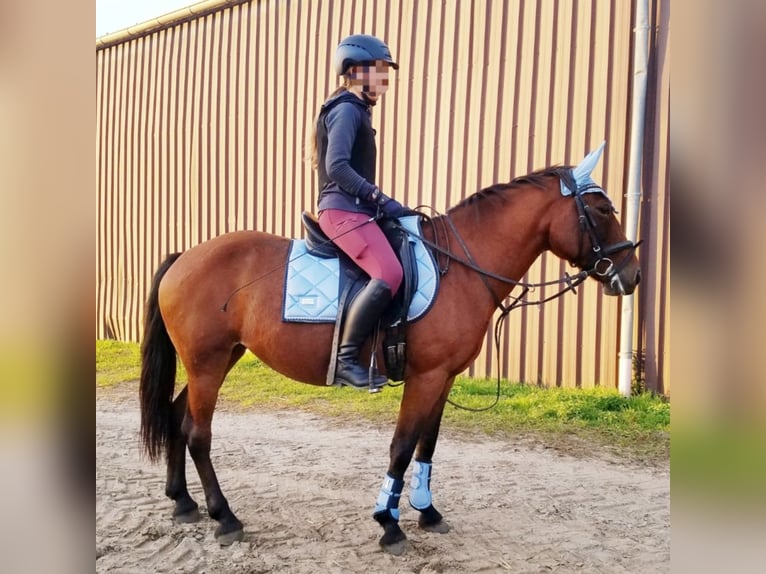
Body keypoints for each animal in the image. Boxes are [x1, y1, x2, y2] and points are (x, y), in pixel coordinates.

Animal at [138, 145, 640, 560]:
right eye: (601, 209)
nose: (632, 275)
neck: (460, 266)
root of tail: (185, 257)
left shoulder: (443, 377)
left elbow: (427, 444)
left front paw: (426, 511)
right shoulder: (425, 376)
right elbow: (402, 445)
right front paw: (389, 524)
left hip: (219, 359)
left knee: (177, 417)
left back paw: (183, 502)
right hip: (208, 363)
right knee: (198, 432)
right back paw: (224, 517)